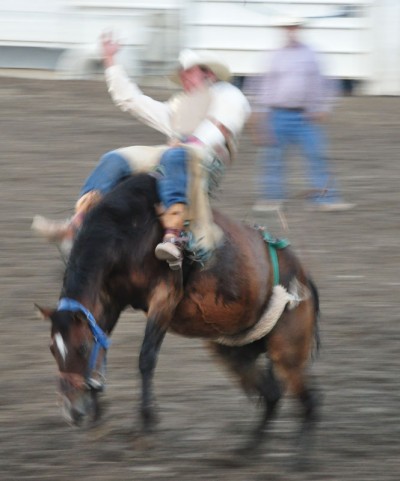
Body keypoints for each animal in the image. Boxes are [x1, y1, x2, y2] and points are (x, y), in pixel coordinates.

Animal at [36, 172, 320, 454]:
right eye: (52, 349)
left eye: (81, 347)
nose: (72, 412)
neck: (129, 229)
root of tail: (303, 276)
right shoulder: (110, 299)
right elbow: (102, 341)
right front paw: (97, 416)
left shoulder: (164, 298)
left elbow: (146, 358)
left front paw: (146, 426)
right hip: (234, 350)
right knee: (272, 394)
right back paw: (246, 451)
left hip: (287, 352)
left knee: (309, 401)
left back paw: (300, 456)